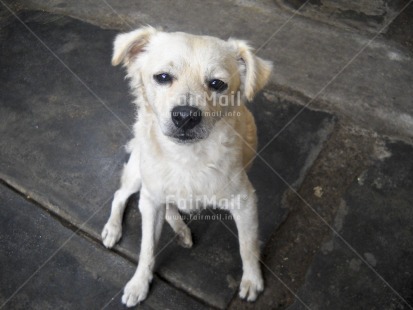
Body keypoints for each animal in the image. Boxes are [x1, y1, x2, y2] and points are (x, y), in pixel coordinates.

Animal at [101, 27, 272, 308]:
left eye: (217, 84)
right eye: (162, 77)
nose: (185, 116)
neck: (186, 158)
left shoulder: (245, 202)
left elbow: (247, 246)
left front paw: (252, 280)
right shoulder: (150, 200)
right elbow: (146, 248)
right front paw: (139, 283)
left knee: (170, 207)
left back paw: (181, 230)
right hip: (138, 177)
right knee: (120, 195)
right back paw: (113, 229)